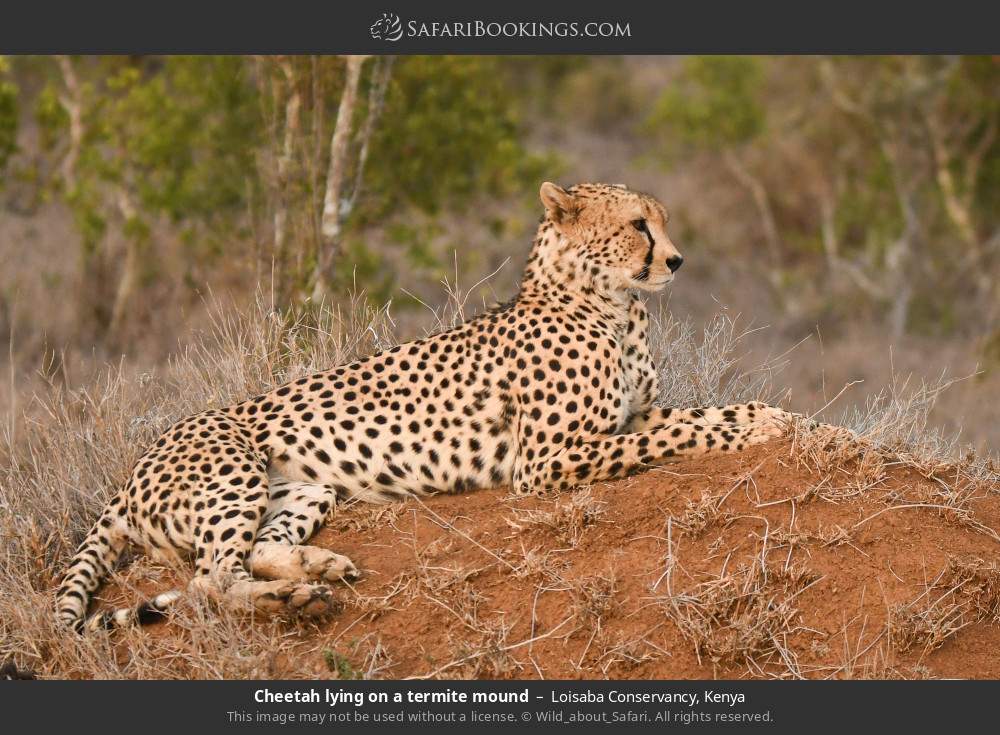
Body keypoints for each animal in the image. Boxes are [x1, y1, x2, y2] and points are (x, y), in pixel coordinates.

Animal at [55, 181, 805, 633]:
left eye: (662, 223)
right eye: (637, 225)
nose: (676, 261)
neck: (611, 305)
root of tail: (132, 469)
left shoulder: (628, 418)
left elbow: (695, 416)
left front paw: (771, 415)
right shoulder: (546, 461)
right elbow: (679, 433)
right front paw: (768, 423)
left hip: (304, 487)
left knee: (253, 551)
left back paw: (317, 569)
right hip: (232, 470)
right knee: (210, 578)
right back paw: (294, 596)